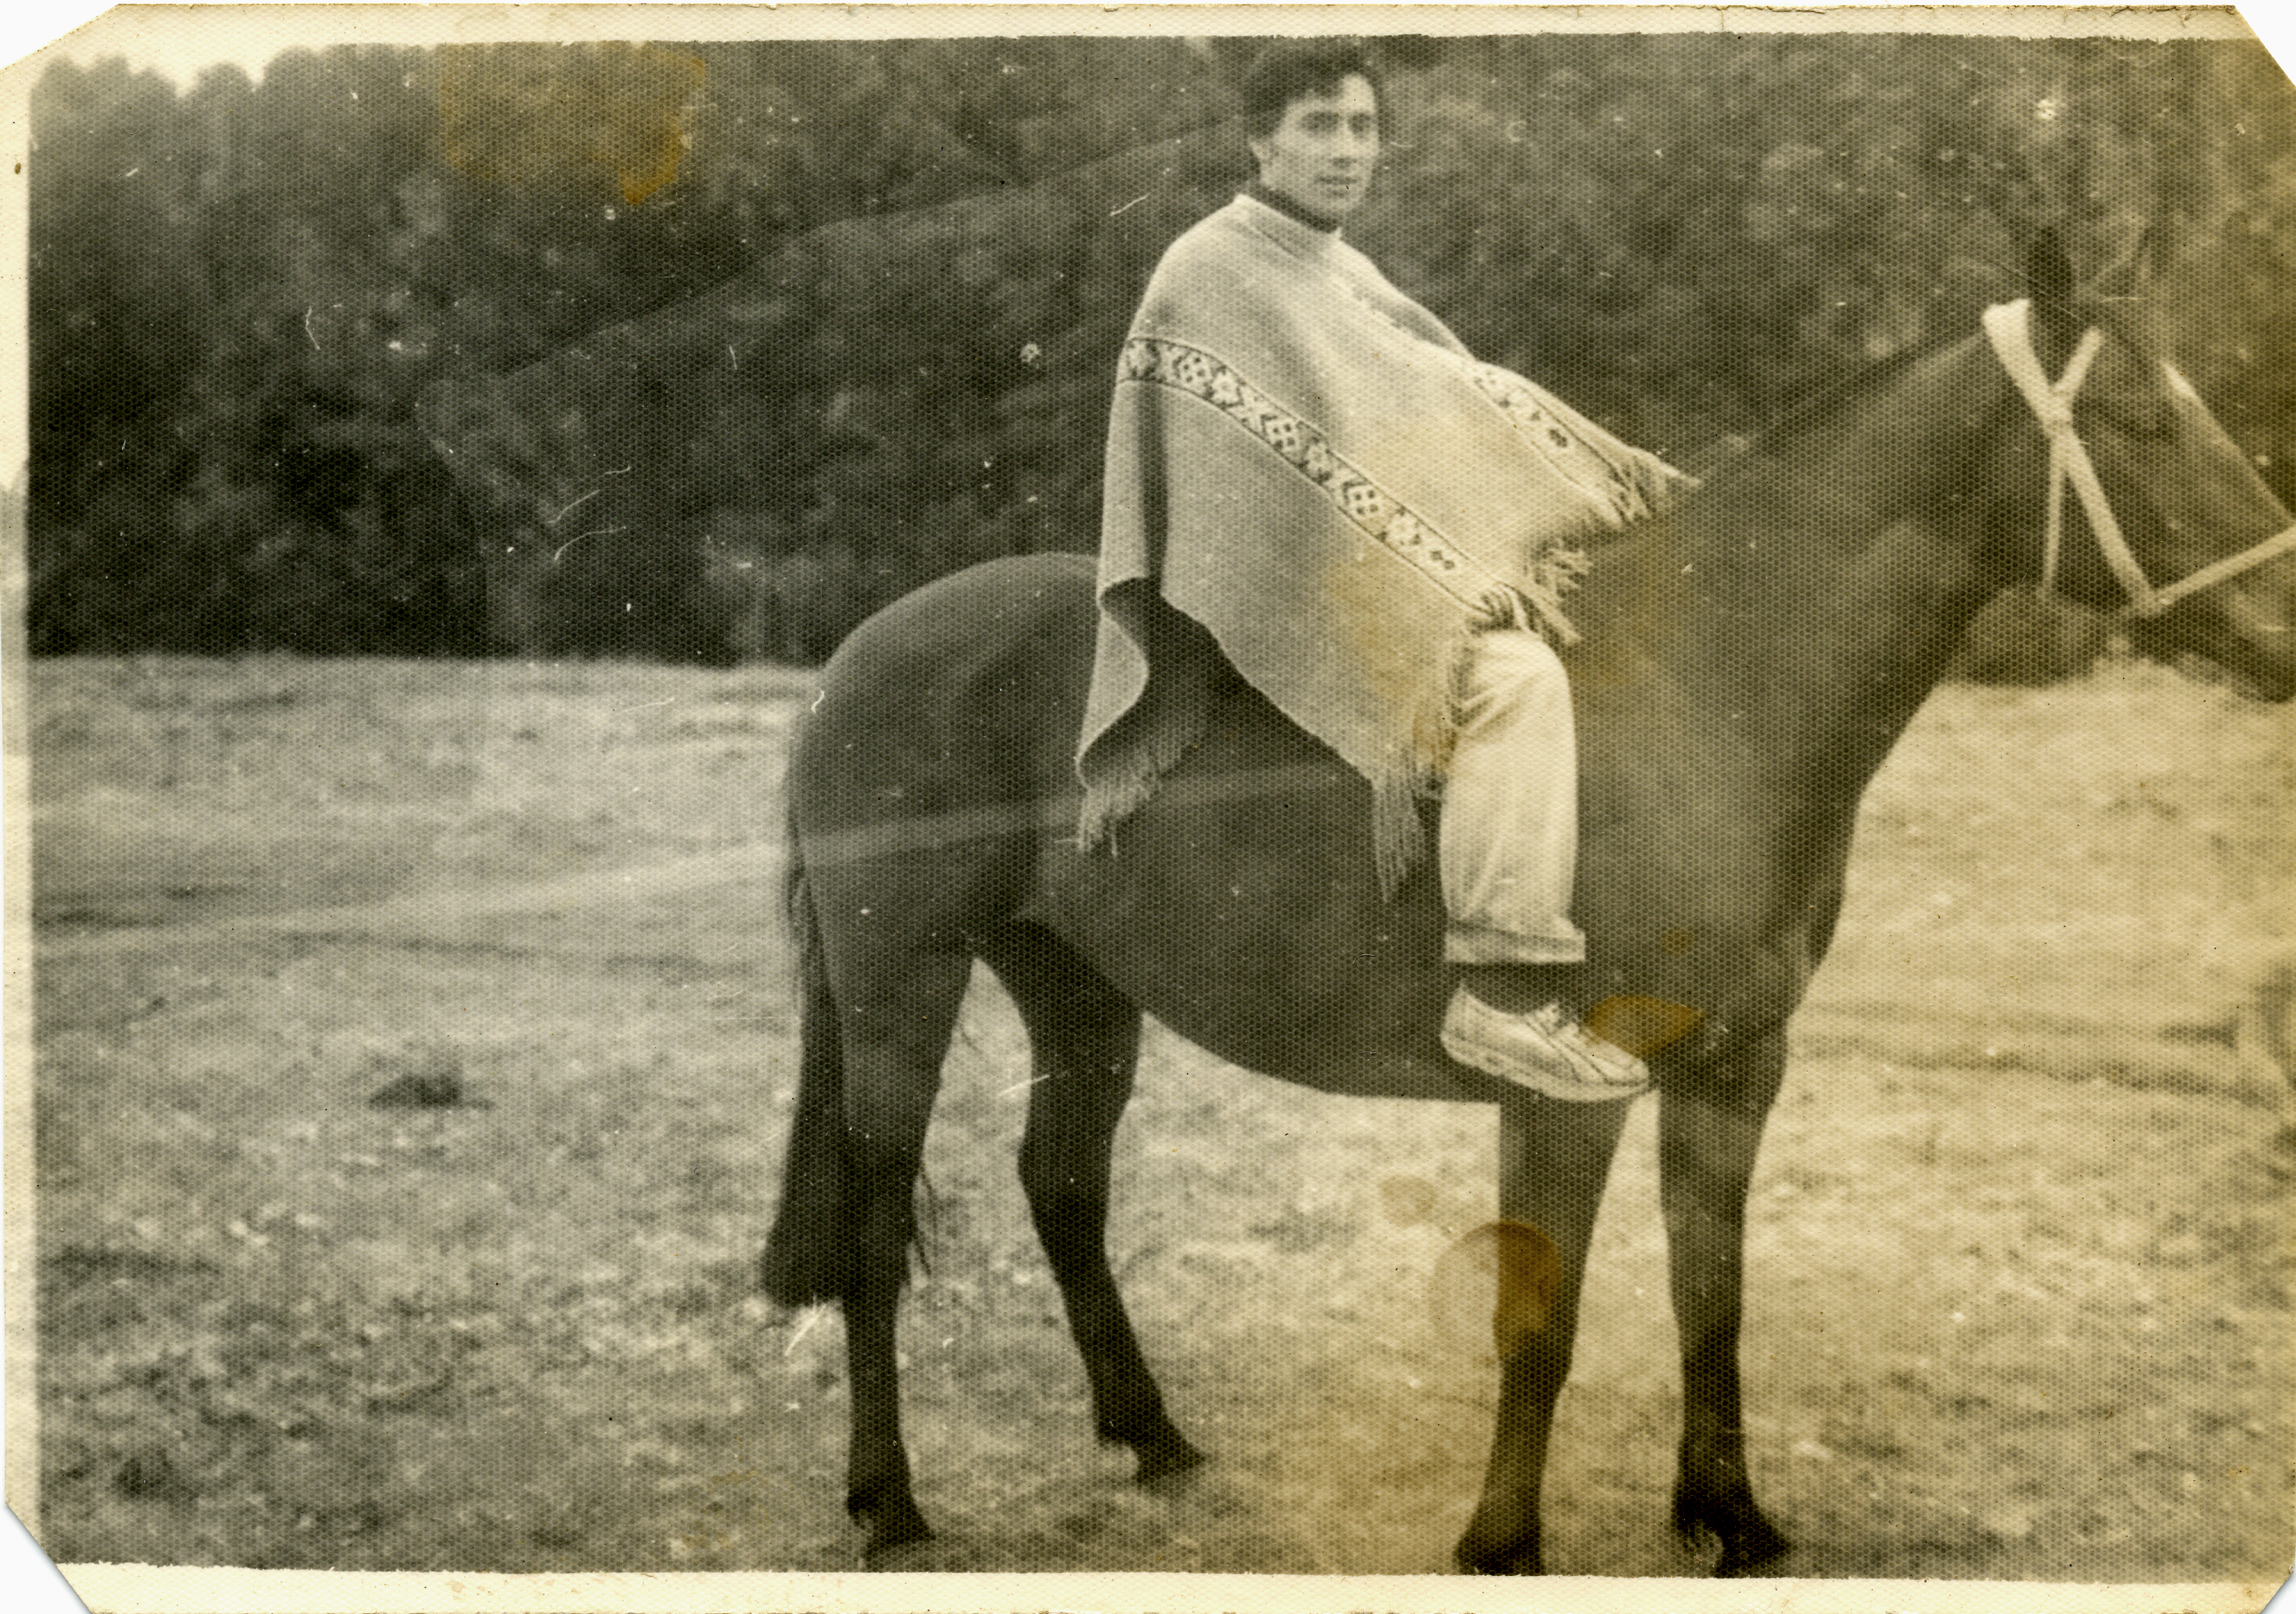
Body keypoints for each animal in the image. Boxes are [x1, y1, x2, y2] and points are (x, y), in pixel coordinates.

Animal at [759, 235, 2296, 1575]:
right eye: (2137, 420)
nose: (2287, 630)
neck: (1709, 692)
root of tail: (859, 654)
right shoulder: (1566, 1090)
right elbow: (1538, 1322)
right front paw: (1501, 1540)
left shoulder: (1734, 1070)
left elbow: (1711, 1300)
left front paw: (1730, 1519)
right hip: (901, 983)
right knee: (875, 1230)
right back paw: (888, 1503)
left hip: (1078, 990)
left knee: (1063, 1188)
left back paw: (1153, 1438)